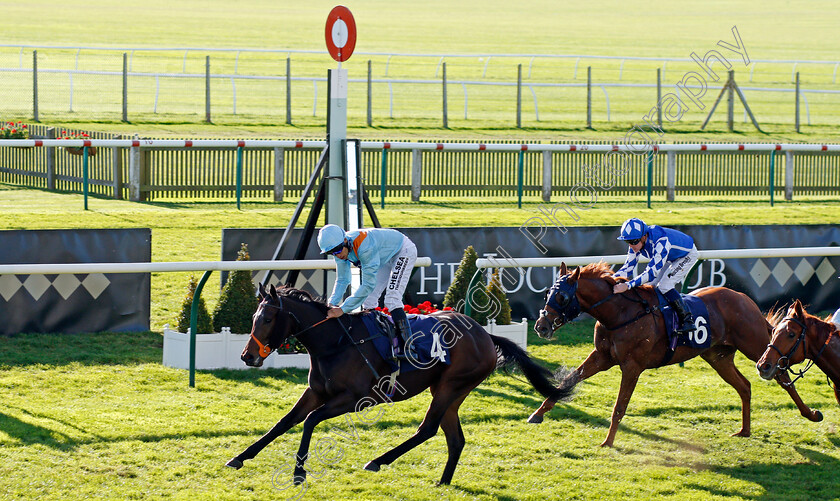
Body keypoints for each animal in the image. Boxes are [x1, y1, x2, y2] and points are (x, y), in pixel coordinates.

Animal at [226, 286, 576, 484]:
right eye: (254, 318)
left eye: (267, 319)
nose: (247, 356)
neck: (335, 342)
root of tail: (486, 335)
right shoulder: (316, 392)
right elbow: (284, 422)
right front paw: (240, 457)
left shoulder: (355, 398)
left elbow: (310, 421)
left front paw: (299, 472)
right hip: (450, 391)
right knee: (455, 439)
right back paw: (443, 483)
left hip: (450, 386)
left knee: (428, 429)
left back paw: (377, 461)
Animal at [528, 262, 816, 446]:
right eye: (548, 293)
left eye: (563, 297)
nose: (541, 326)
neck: (620, 313)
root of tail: (746, 300)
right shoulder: (602, 357)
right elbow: (568, 381)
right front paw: (538, 414)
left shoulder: (632, 366)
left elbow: (619, 406)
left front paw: (608, 442)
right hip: (717, 357)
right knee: (744, 385)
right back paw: (744, 430)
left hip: (758, 347)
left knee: (781, 376)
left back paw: (811, 414)